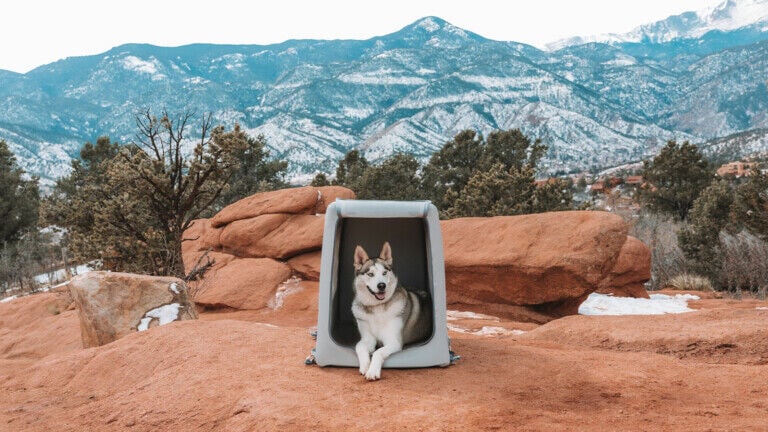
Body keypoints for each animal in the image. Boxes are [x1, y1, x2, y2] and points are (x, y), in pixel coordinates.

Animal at [352, 241, 428, 380]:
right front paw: (365, 366)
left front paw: (372, 371)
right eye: (370, 274)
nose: (381, 285)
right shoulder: (367, 339)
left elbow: (378, 352)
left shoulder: (394, 341)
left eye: (384, 273)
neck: (377, 308)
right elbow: (359, 348)